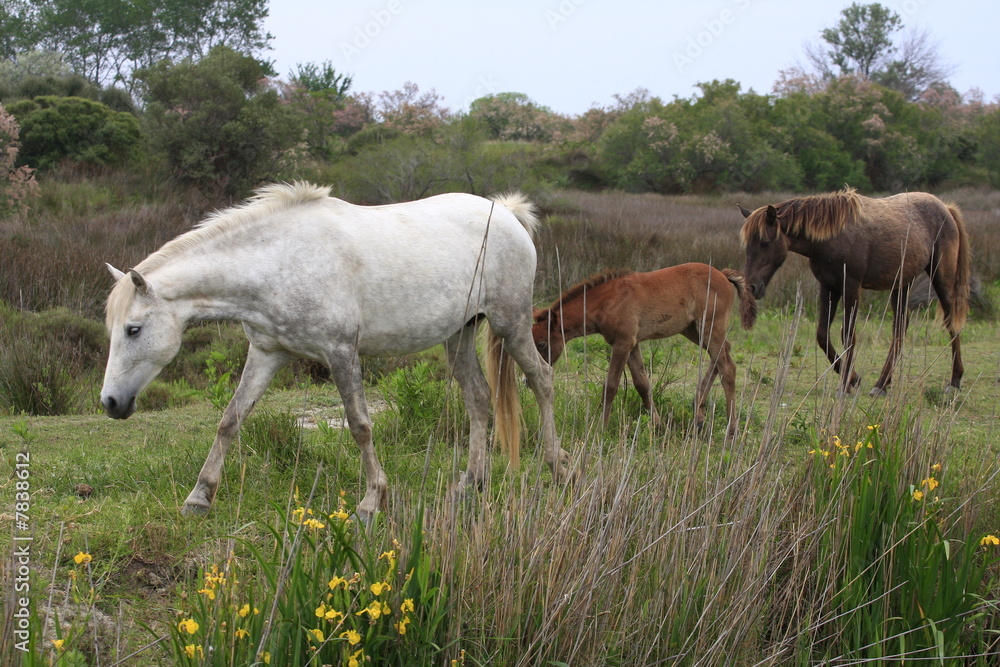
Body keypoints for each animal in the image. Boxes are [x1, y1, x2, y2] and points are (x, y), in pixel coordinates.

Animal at [102, 184, 576, 520]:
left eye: (133, 329)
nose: (110, 403)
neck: (277, 262)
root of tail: (508, 213)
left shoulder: (341, 351)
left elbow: (360, 425)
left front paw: (372, 501)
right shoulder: (267, 353)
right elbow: (230, 420)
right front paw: (199, 497)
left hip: (511, 323)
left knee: (541, 381)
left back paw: (557, 468)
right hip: (459, 335)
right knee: (478, 398)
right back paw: (469, 485)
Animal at [536, 260, 752, 438]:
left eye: (541, 343)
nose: (534, 380)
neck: (608, 301)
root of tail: (723, 274)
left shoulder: (623, 343)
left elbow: (611, 386)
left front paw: (600, 429)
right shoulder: (632, 345)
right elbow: (642, 384)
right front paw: (659, 426)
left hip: (710, 326)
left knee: (727, 367)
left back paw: (731, 430)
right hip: (692, 329)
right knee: (723, 353)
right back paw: (698, 417)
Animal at [736, 188, 968, 396]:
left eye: (765, 243)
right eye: (747, 246)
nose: (751, 287)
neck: (832, 237)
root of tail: (945, 209)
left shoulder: (851, 287)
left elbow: (848, 335)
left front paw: (845, 385)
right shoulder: (828, 287)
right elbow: (822, 334)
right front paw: (853, 378)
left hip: (941, 278)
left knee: (951, 321)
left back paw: (955, 380)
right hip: (901, 284)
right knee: (900, 327)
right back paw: (882, 384)